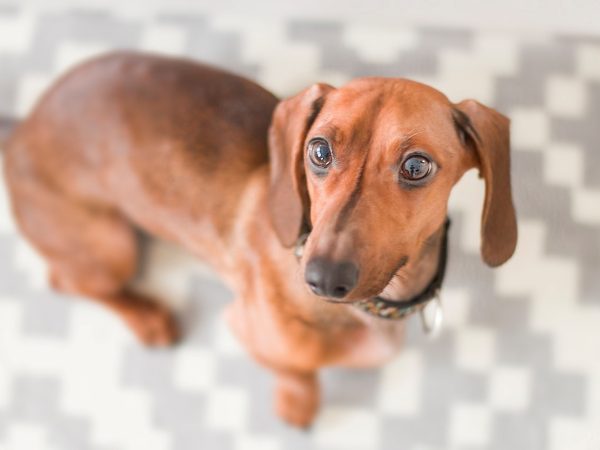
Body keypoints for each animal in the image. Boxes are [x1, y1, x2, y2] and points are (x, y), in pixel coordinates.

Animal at [1, 51, 516, 428]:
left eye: (416, 166)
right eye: (319, 150)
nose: (321, 279)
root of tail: (22, 129)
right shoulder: (244, 327)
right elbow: (298, 374)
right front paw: (298, 406)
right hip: (113, 248)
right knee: (68, 281)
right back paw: (147, 318)